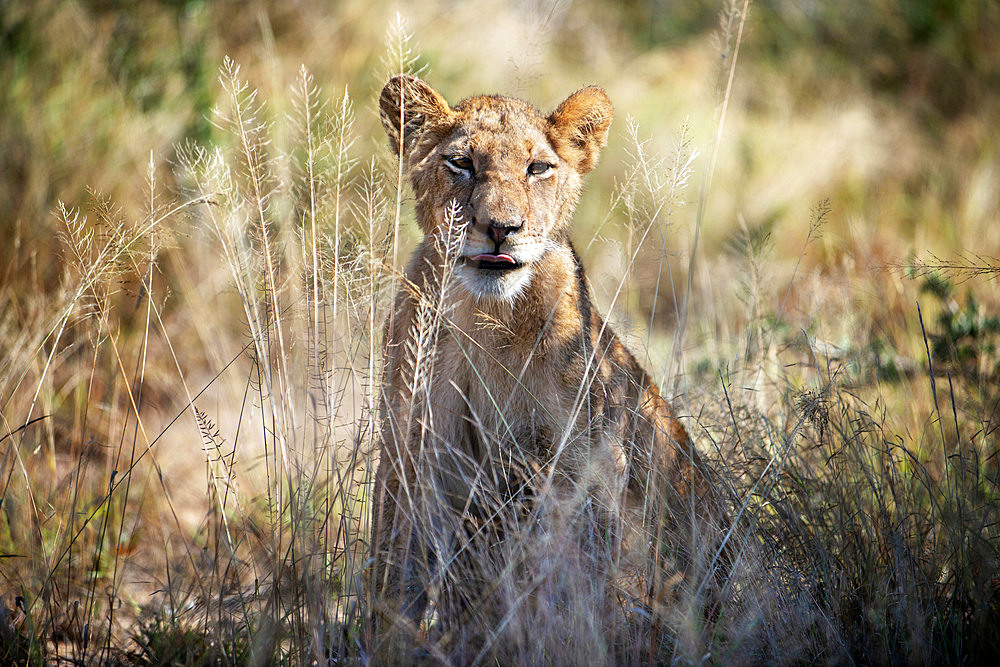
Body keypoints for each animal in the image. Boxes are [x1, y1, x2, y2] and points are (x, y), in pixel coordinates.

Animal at [372, 75, 716, 660]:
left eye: (538, 168)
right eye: (460, 163)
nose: (500, 229)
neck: (485, 318)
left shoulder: (588, 468)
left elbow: (585, 581)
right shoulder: (411, 458)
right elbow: (397, 576)